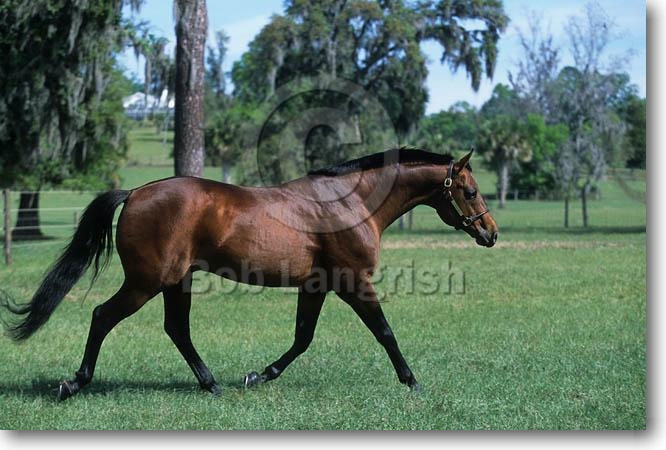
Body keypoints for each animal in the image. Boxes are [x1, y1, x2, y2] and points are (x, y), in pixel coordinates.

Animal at [1, 148, 498, 401]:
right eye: (472, 191)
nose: (490, 233)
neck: (349, 202)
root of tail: (136, 192)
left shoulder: (318, 286)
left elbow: (302, 338)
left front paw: (258, 375)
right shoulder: (354, 283)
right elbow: (385, 332)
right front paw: (412, 381)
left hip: (176, 282)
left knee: (176, 329)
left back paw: (212, 384)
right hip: (146, 282)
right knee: (104, 316)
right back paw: (73, 383)